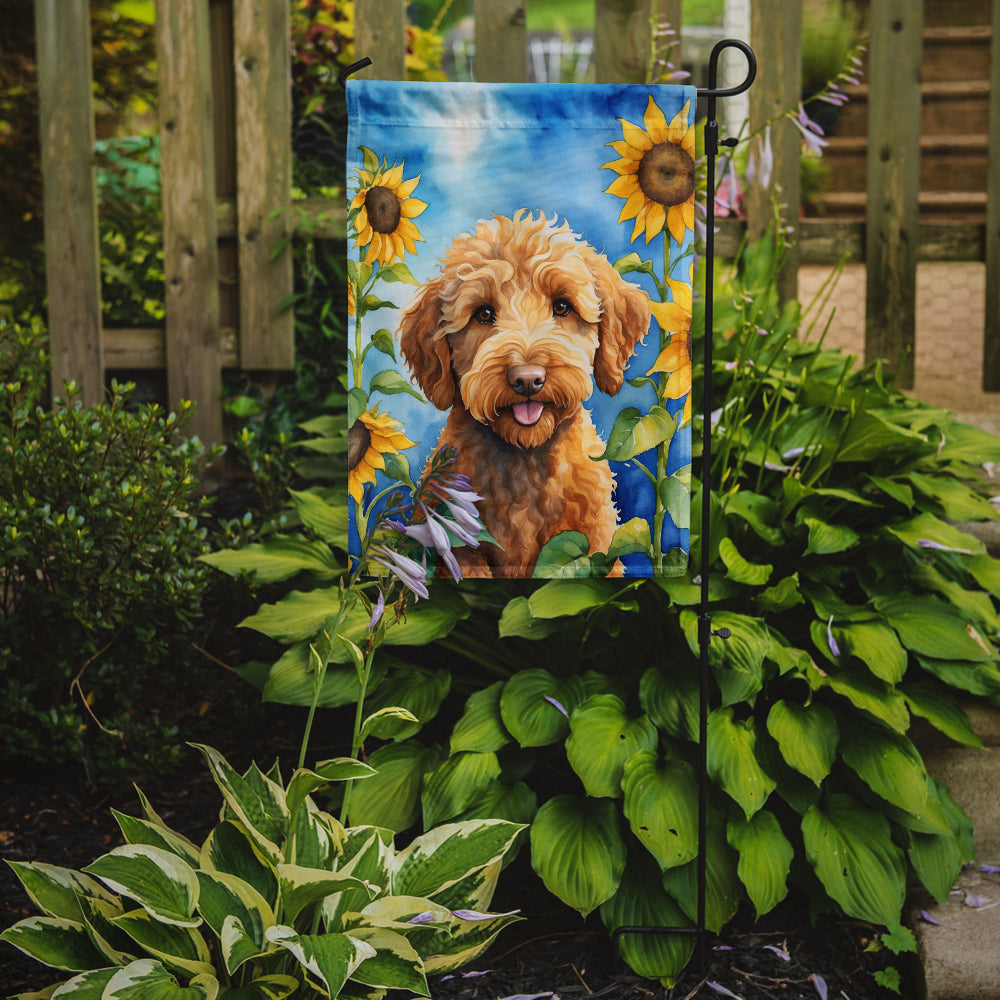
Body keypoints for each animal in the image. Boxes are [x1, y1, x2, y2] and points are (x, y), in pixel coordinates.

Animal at [398, 211, 648, 580]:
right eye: (484, 313)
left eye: (562, 306)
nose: (527, 379)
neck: (525, 458)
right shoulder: (457, 548)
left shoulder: (594, 546)